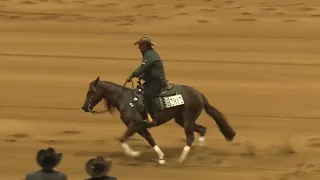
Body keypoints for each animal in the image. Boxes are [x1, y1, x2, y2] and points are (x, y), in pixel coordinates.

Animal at [80, 76, 235, 165]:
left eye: (90, 91)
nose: (84, 107)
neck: (126, 100)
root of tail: (199, 94)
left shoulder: (135, 125)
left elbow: (122, 139)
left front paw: (134, 154)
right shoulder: (141, 127)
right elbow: (150, 140)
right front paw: (160, 157)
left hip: (187, 119)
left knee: (190, 137)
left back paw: (181, 159)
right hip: (181, 119)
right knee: (202, 129)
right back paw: (200, 148)